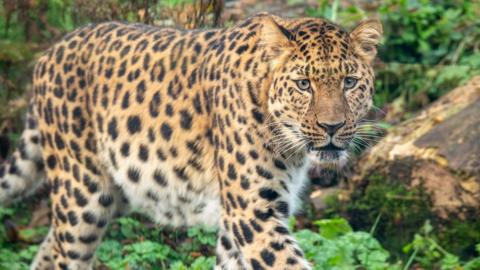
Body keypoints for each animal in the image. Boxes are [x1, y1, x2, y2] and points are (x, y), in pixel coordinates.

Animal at [0, 11, 382, 268]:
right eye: (304, 84)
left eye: (349, 82)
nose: (332, 126)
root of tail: (51, 52)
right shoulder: (253, 211)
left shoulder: (243, 215)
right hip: (82, 192)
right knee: (66, 250)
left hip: (111, 193)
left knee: (50, 245)